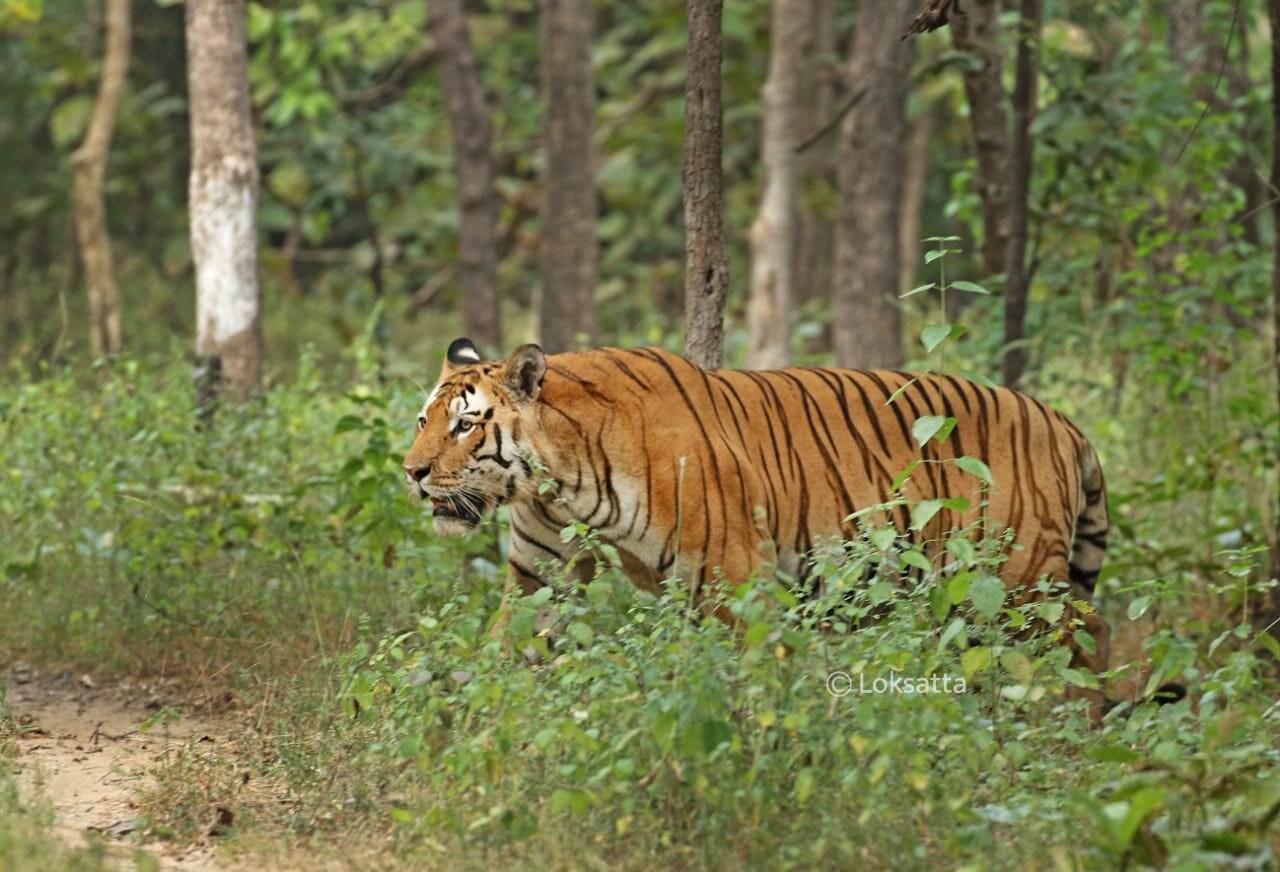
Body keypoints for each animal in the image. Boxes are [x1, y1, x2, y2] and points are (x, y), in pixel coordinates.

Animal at [404, 338, 1116, 701]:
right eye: (422, 420)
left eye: (465, 425)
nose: (411, 472)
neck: (559, 480)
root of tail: (1062, 421)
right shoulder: (539, 574)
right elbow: (506, 650)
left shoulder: (736, 580)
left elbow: (749, 680)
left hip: (1020, 584)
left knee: (1081, 641)